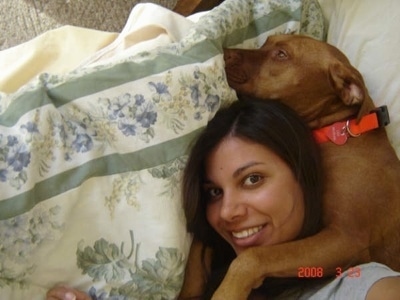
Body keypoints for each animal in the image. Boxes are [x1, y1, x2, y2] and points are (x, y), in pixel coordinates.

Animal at [205, 34, 400, 298]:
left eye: (282, 54)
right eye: (266, 42)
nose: (224, 51)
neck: (337, 131)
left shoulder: (346, 237)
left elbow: (254, 257)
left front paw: (228, 291)